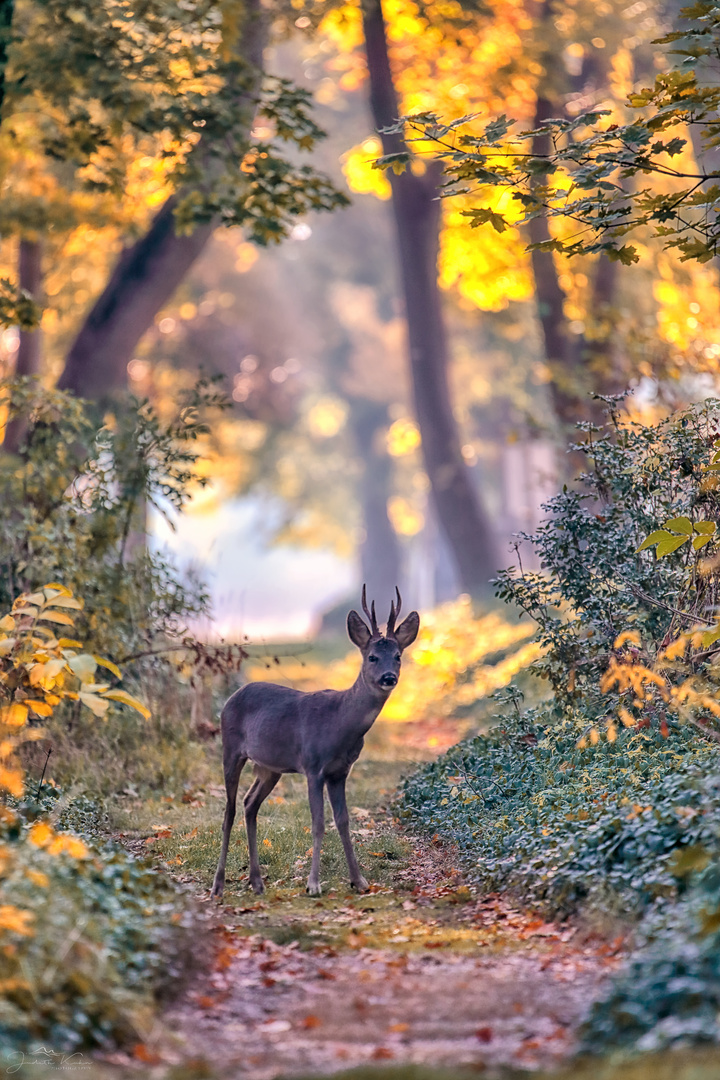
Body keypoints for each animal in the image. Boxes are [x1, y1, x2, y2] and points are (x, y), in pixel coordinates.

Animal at [211, 587, 418, 898]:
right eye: (372, 657)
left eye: (397, 656)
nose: (388, 677)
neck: (339, 724)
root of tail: (230, 698)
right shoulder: (313, 765)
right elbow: (318, 823)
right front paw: (313, 884)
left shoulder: (340, 771)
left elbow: (343, 821)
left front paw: (359, 880)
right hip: (231, 748)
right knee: (229, 810)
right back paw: (219, 885)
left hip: (269, 767)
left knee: (249, 804)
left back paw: (257, 882)